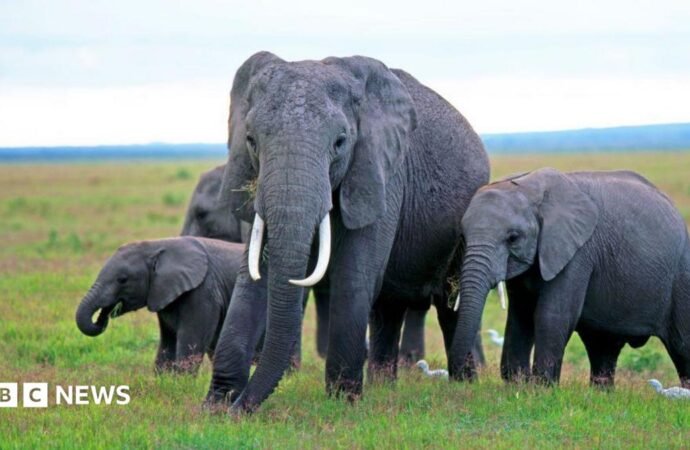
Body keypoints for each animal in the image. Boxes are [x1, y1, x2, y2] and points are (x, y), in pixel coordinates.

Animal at [75, 236, 243, 375]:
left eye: (122, 280)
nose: (102, 317)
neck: (156, 245)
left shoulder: (203, 292)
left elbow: (190, 344)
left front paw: (182, 385)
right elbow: (167, 345)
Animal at [205, 51, 490, 413]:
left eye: (340, 143)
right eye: (251, 141)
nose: (237, 405)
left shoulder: (381, 172)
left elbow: (353, 276)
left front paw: (343, 402)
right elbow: (253, 278)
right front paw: (215, 405)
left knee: (450, 304)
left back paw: (463, 387)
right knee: (388, 309)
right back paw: (384, 387)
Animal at [449, 168, 690, 389]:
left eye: (513, 238)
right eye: (463, 236)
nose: (460, 380)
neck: (528, 188)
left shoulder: (577, 252)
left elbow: (552, 315)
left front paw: (541, 389)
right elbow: (521, 316)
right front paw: (517, 386)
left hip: (681, 274)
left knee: (682, 344)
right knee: (603, 346)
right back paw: (601, 394)